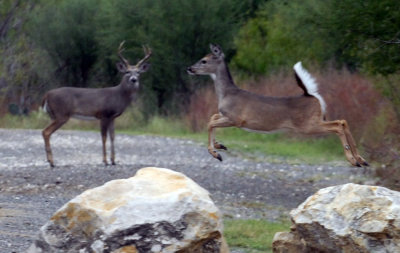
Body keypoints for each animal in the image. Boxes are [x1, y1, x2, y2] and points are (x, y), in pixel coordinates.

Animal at [188, 44, 368, 166]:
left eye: (204, 60)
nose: (189, 68)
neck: (226, 94)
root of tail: (311, 95)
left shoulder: (236, 119)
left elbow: (210, 122)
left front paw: (215, 153)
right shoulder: (226, 115)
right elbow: (212, 117)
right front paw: (219, 145)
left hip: (307, 124)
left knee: (338, 125)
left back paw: (353, 160)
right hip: (316, 120)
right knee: (342, 121)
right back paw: (361, 160)